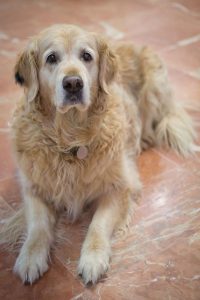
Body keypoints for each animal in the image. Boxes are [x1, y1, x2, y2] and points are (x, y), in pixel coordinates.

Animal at [0, 23, 198, 284]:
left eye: (86, 56)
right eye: (51, 58)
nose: (73, 83)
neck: (71, 137)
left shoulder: (119, 187)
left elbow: (98, 224)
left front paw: (93, 259)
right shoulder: (33, 187)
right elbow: (38, 226)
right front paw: (31, 257)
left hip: (154, 91)